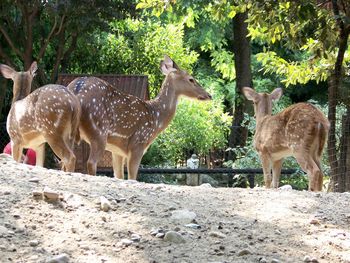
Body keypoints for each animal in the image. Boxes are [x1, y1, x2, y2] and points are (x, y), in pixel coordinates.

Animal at [67, 54, 212, 180]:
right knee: (90, 162)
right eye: (191, 79)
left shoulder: (117, 150)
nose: (209, 95)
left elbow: (119, 175)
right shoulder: (138, 142)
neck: (156, 117)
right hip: (99, 129)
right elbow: (132, 177)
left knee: (69, 158)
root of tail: (77, 91)